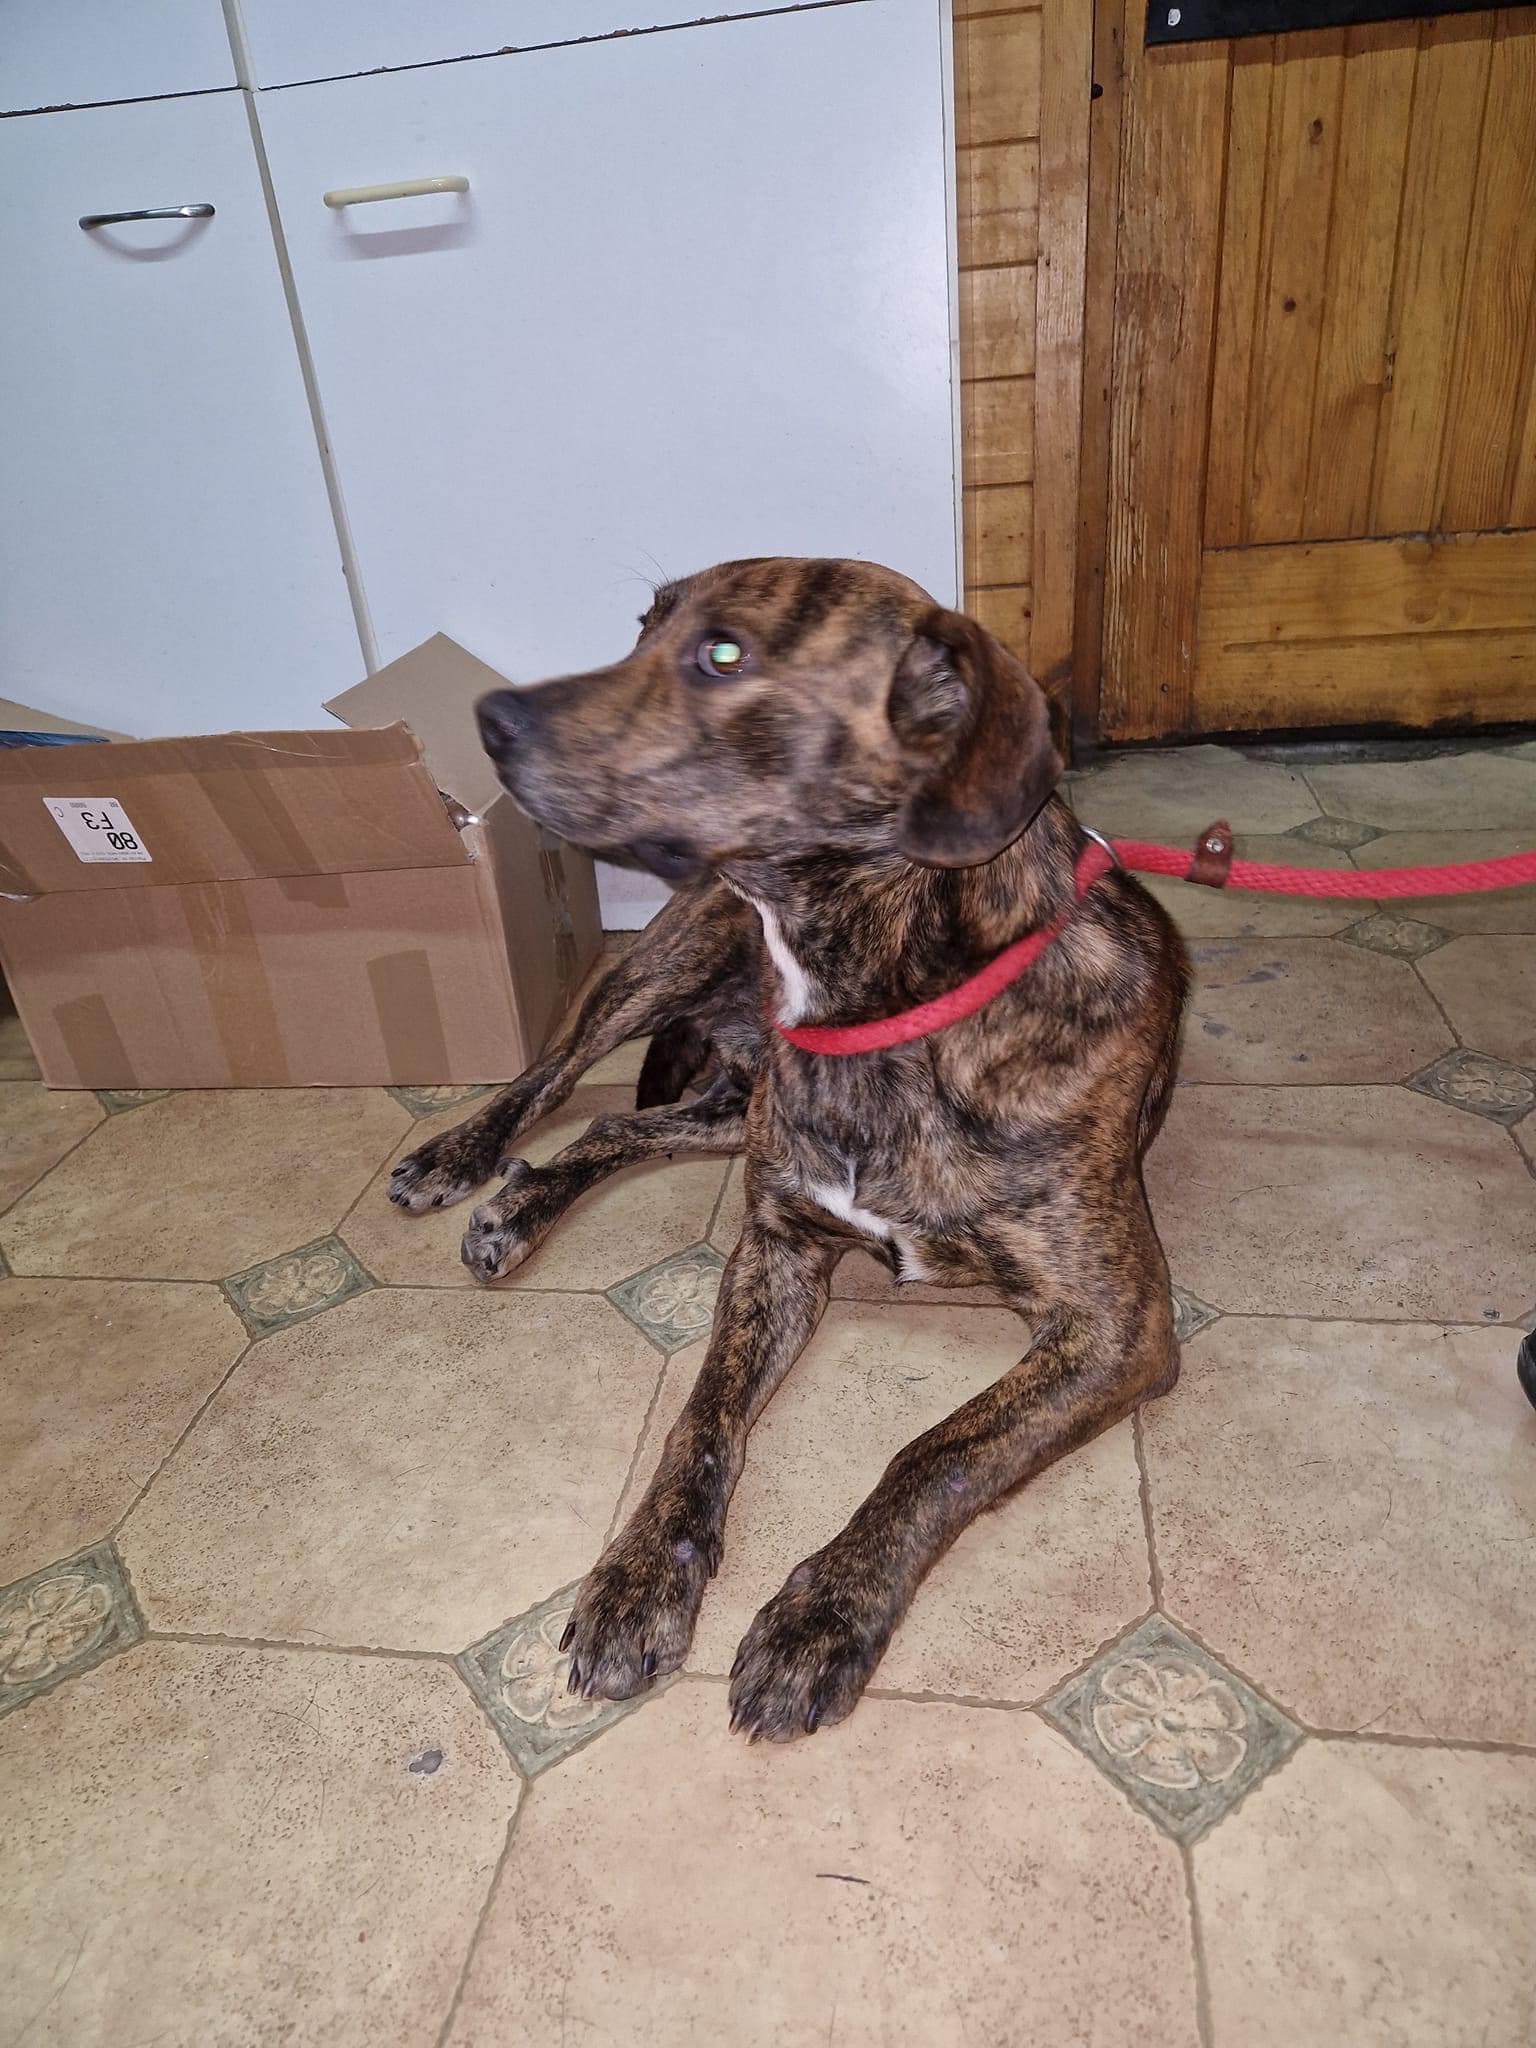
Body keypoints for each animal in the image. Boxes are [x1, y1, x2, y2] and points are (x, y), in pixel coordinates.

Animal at [387, 557, 1189, 1741]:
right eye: (642, 626)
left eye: (724, 653)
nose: (488, 720)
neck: (885, 1007)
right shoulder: (775, 1250)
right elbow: (701, 1416)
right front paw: (639, 1577)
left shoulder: (1116, 1326)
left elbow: (936, 1453)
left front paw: (823, 1613)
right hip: (661, 970)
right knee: (557, 1074)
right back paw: (465, 1161)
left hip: (734, 1102)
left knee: (618, 1123)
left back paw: (521, 1199)